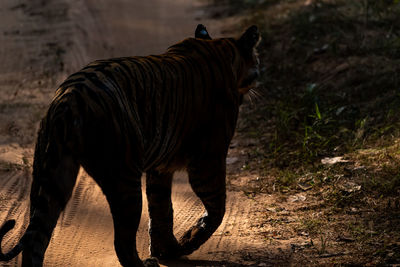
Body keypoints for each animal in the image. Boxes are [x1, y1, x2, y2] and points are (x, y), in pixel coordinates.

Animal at [0, 24, 260, 266]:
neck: (220, 49)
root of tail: (67, 100)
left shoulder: (161, 167)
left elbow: (162, 209)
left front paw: (168, 250)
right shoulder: (208, 159)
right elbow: (217, 208)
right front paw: (188, 242)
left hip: (54, 176)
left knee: (36, 238)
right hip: (123, 178)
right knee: (122, 243)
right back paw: (145, 264)